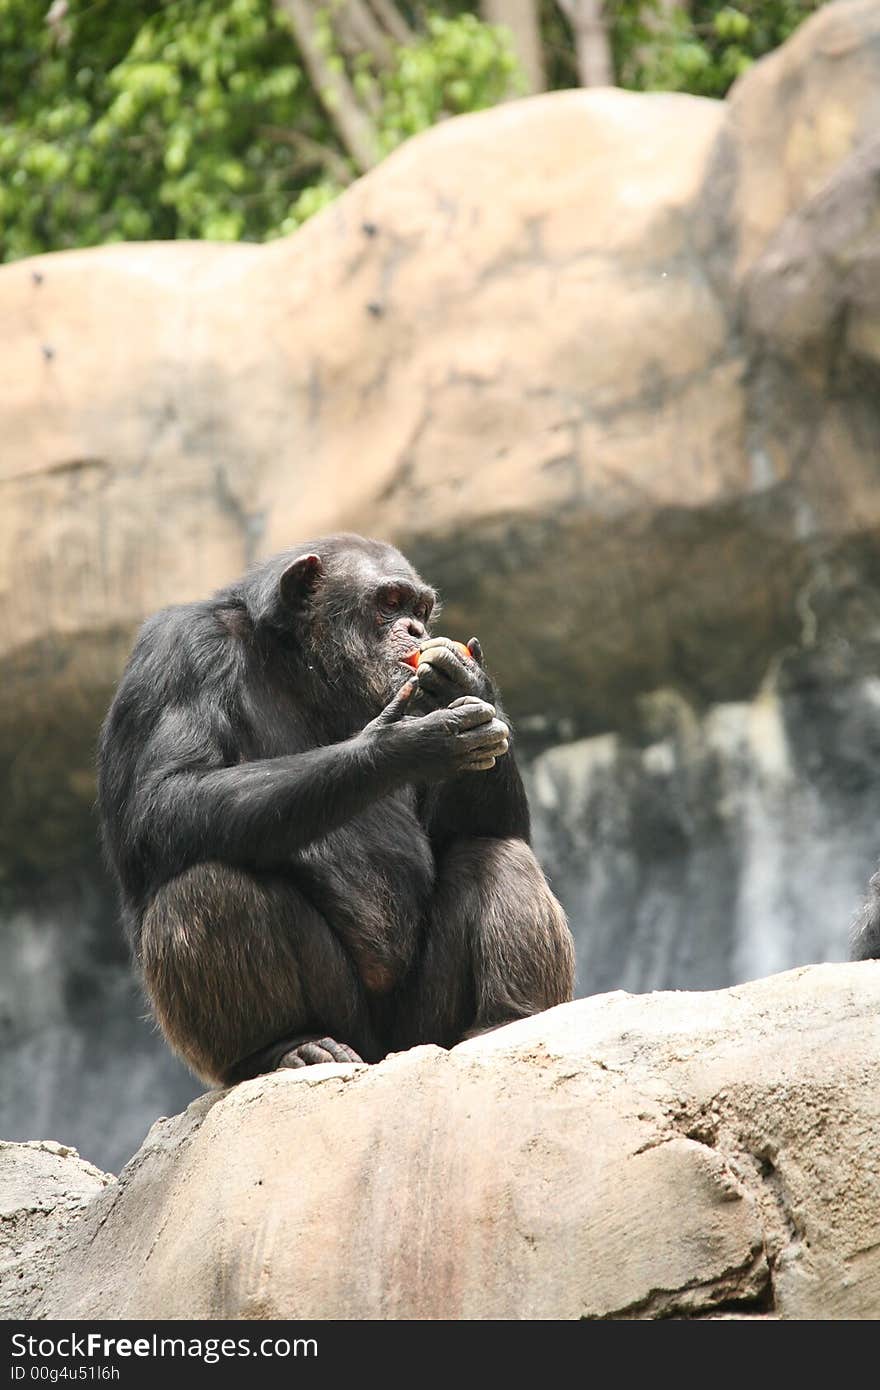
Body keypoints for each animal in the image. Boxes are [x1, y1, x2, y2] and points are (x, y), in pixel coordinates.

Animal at [98, 533, 575, 1084]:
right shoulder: (179, 652)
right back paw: (284, 1047)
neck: (302, 664)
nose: (417, 630)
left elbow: (480, 827)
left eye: (420, 609)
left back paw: (505, 1023)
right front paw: (404, 743)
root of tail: (386, 1053)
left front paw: (466, 682)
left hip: (425, 1029)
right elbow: (166, 796)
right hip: (343, 1024)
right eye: (390, 602)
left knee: (495, 851)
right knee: (207, 888)